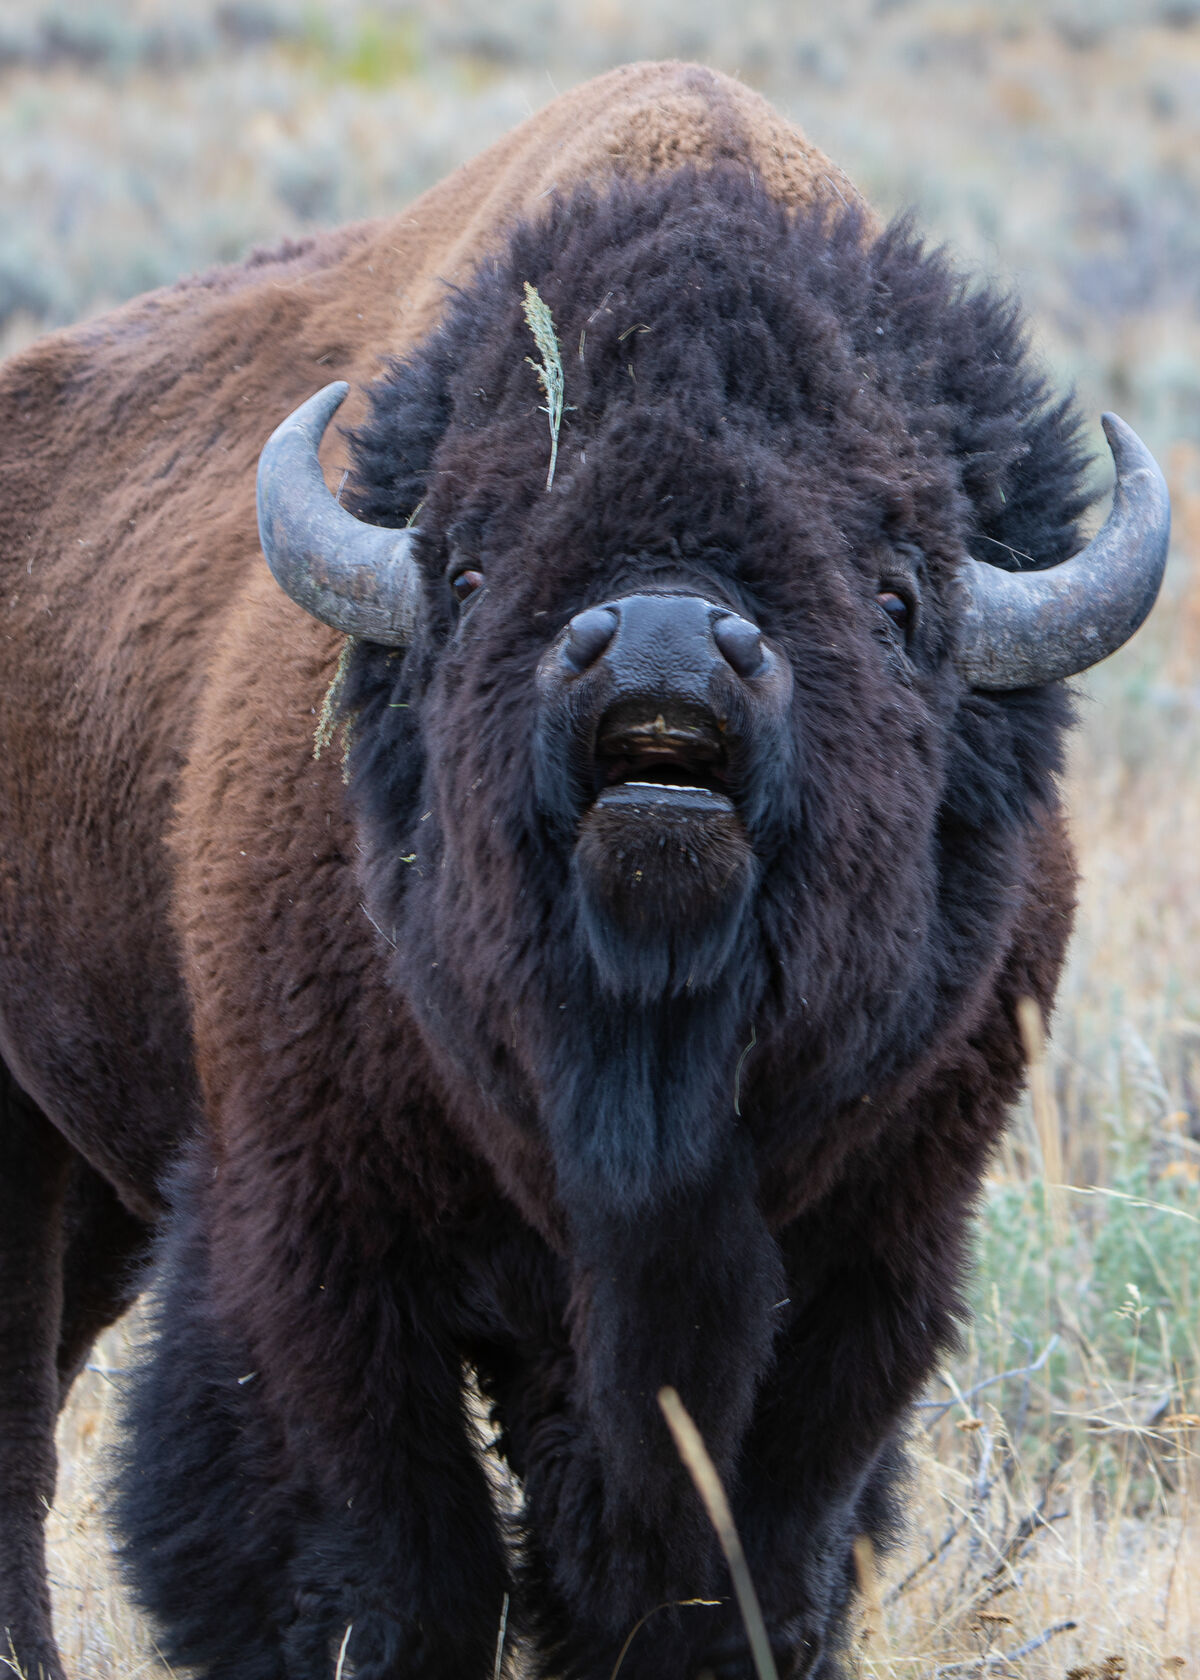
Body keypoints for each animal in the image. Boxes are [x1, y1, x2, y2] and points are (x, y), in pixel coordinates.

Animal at [0, 61, 1169, 1680]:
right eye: (471, 568)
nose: (665, 646)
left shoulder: (868, 1270)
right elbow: (383, 1560)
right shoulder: (313, 1245)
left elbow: (748, 1557)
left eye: (896, 595)